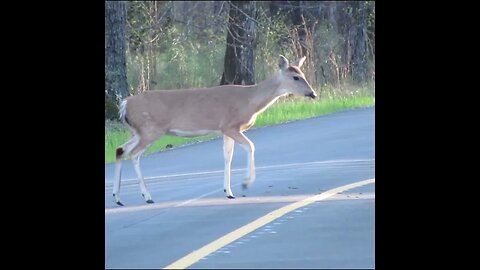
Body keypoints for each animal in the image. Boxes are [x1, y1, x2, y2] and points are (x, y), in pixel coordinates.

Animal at [111, 55, 316, 207]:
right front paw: (245, 183)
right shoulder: (230, 125)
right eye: (295, 77)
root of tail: (125, 104)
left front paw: (229, 192)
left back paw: (118, 197)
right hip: (150, 130)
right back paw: (147, 196)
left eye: (303, 74)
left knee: (120, 149)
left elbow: (227, 157)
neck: (250, 101)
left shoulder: (224, 130)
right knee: (134, 154)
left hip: (138, 131)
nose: (313, 93)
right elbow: (250, 146)